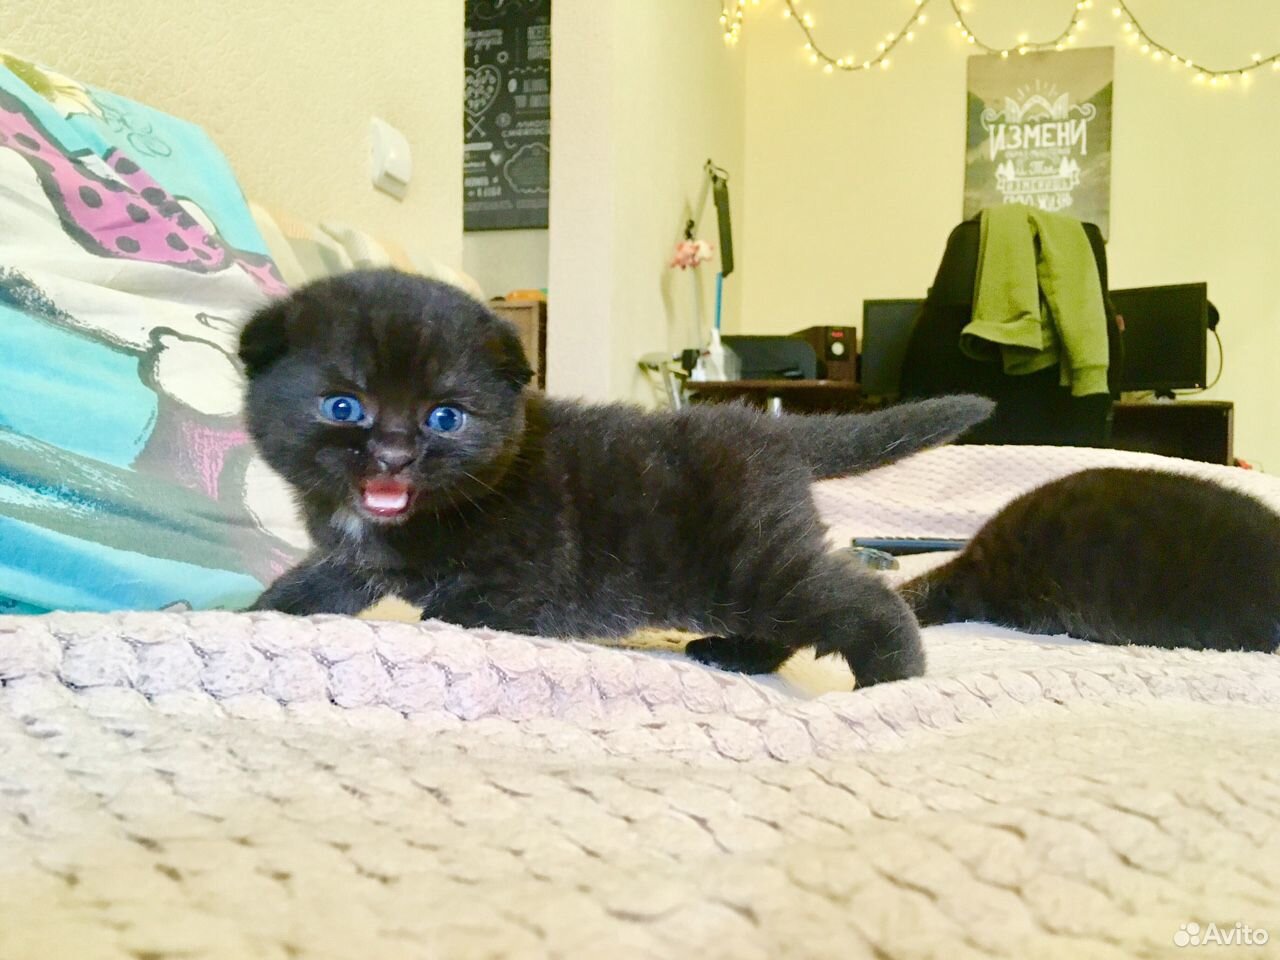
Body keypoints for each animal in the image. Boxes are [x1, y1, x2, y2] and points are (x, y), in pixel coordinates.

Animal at [238, 269, 993, 687]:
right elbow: (307, 587)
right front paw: (244, 616)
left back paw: (893, 678)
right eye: (344, 406)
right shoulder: (352, 560)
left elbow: (458, 613)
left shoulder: (524, 577)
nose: (395, 455)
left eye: (445, 417)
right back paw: (737, 655)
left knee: (858, 598)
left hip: (752, 562)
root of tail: (771, 426)